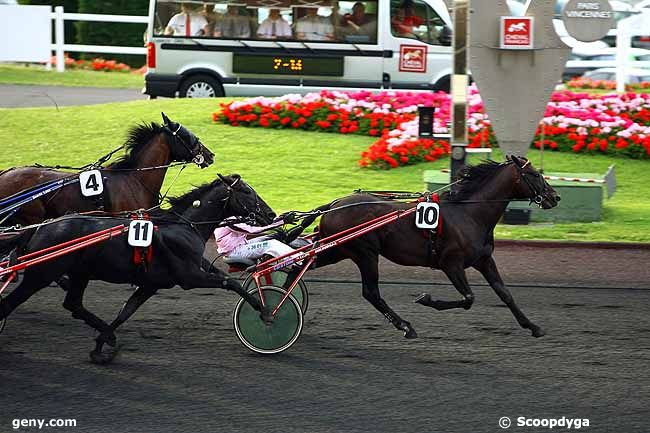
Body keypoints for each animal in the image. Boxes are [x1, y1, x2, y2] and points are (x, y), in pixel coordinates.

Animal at [0, 174, 276, 362]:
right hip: (41, 274)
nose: (271, 214)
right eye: (247, 192)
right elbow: (230, 283)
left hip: (80, 272)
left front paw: (101, 345)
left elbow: (126, 311)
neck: (184, 227)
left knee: (74, 304)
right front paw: (264, 311)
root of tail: (39, 227)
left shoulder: (151, 284)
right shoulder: (189, 277)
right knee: (10, 304)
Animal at [316, 157, 560, 340]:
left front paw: (533, 326)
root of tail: (333, 205)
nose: (555, 197)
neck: (469, 214)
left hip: (337, 250)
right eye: (535, 174)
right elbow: (468, 298)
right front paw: (426, 299)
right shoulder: (450, 263)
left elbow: (505, 293)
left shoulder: (484, 260)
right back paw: (406, 326)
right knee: (371, 293)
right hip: (365, 253)